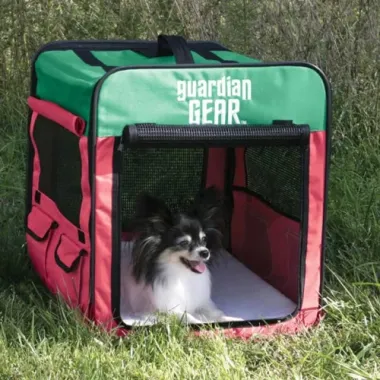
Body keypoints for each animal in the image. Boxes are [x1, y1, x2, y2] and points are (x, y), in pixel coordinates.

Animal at [122, 187, 229, 324]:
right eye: (184, 243)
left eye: (204, 239)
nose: (205, 252)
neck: (182, 275)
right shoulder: (163, 310)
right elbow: (188, 317)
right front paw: (200, 324)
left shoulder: (202, 304)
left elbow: (217, 313)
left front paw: (231, 319)